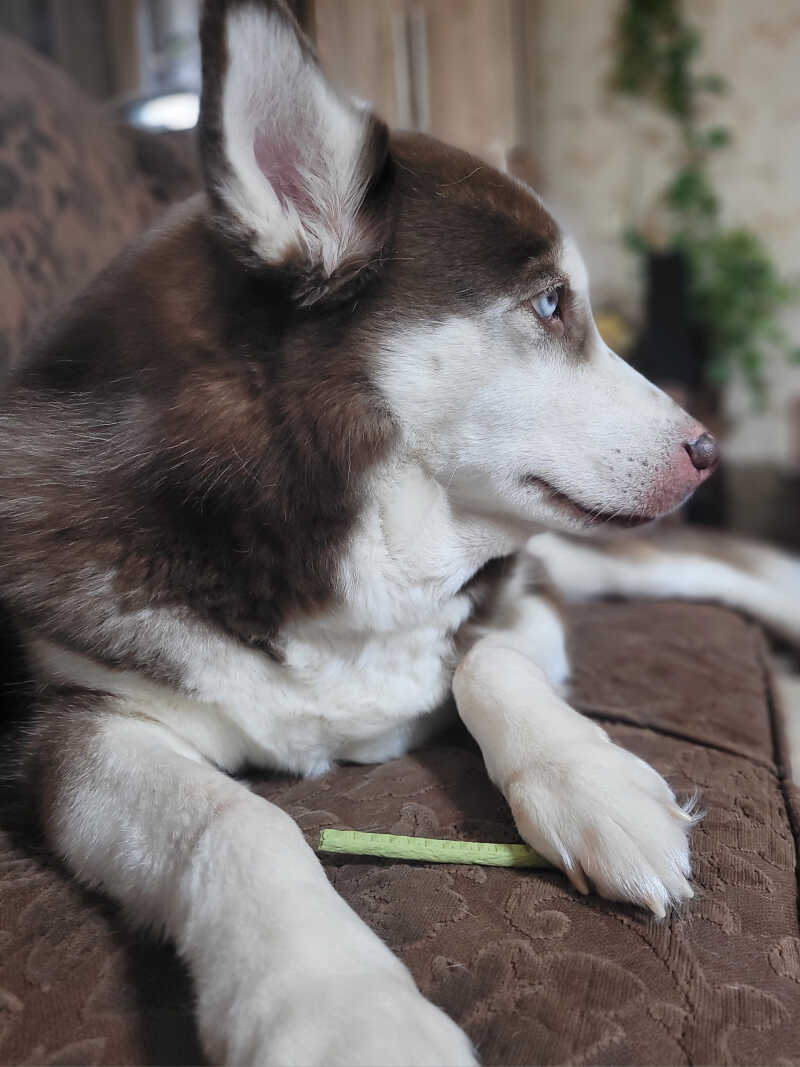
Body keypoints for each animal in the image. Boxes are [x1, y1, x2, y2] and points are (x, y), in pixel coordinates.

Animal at [3, 1, 794, 1063]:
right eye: (552, 303)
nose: (708, 448)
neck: (335, 554)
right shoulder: (74, 726)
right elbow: (236, 822)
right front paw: (341, 1006)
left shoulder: (521, 597)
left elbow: (482, 661)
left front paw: (592, 782)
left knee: (724, 569)